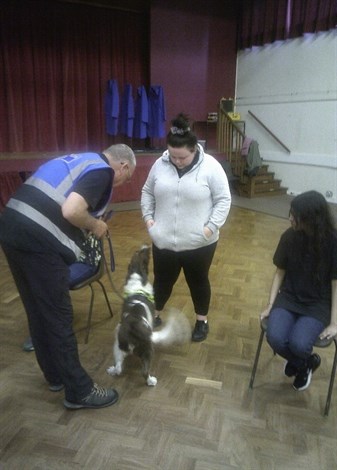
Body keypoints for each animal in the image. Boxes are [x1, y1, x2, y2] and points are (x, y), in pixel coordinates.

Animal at [106, 246, 190, 386]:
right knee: (144, 372)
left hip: (117, 346)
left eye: (137, 252)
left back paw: (112, 370)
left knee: (118, 367)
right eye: (144, 255)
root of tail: (133, 328)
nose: (146, 246)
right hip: (147, 351)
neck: (137, 278)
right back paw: (151, 381)